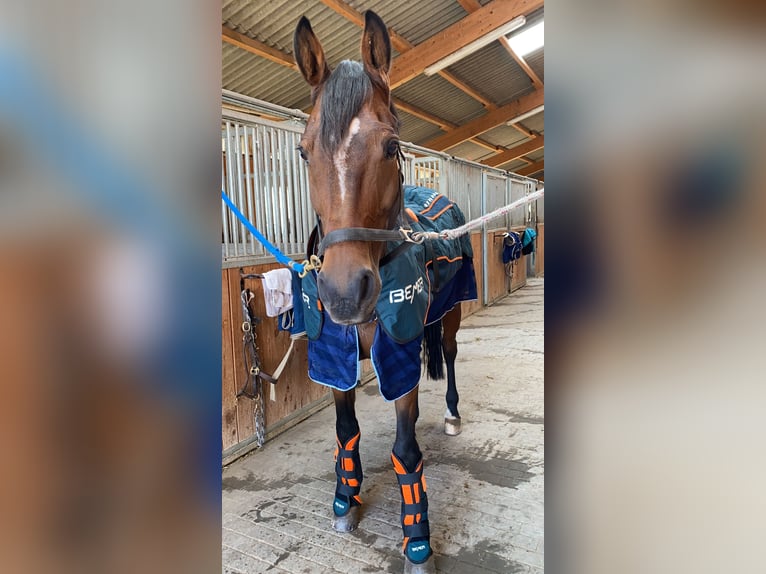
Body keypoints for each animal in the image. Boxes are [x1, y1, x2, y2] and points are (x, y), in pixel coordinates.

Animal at [293, 11, 476, 573]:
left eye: (391, 146)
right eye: (303, 150)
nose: (344, 292)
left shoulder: (398, 354)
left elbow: (406, 449)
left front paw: (417, 541)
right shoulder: (335, 355)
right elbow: (344, 431)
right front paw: (344, 499)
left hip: (451, 316)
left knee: (450, 354)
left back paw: (453, 414)